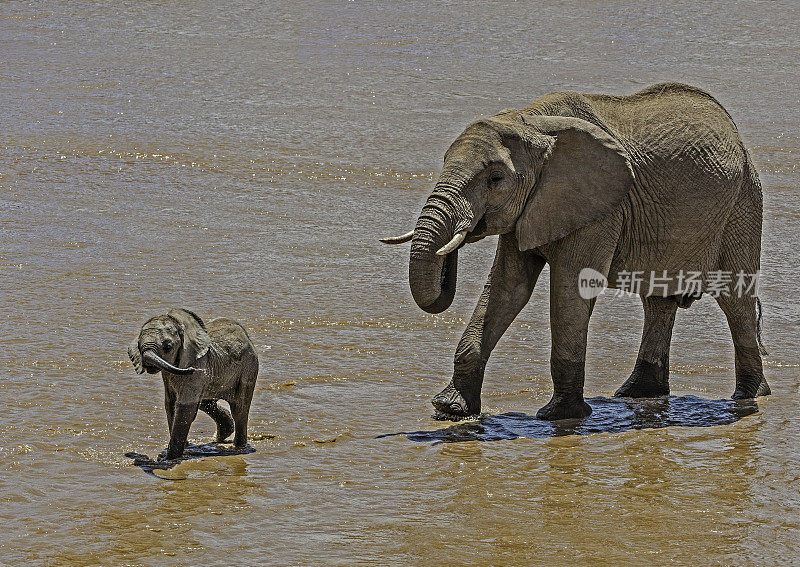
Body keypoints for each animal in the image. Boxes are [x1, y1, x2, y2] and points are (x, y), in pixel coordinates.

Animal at [128, 308, 260, 460]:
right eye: (138, 345)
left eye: (168, 347)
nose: (191, 370)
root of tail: (246, 336)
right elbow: (170, 405)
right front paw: (184, 448)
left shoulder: (198, 364)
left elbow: (184, 407)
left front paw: (168, 459)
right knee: (206, 402)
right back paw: (222, 436)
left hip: (249, 368)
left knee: (239, 408)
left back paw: (238, 446)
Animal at [382, 83, 768, 422]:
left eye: (495, 178)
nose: (461, 235)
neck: (530, 123)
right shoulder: (532, 209)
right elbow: (508, 288)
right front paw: (450, 410)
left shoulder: (601, 209)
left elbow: (570, 290)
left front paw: (559, 415)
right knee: (657, 301)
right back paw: (637, 394)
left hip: (742, 205)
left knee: (735, 299)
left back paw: (748, 395)